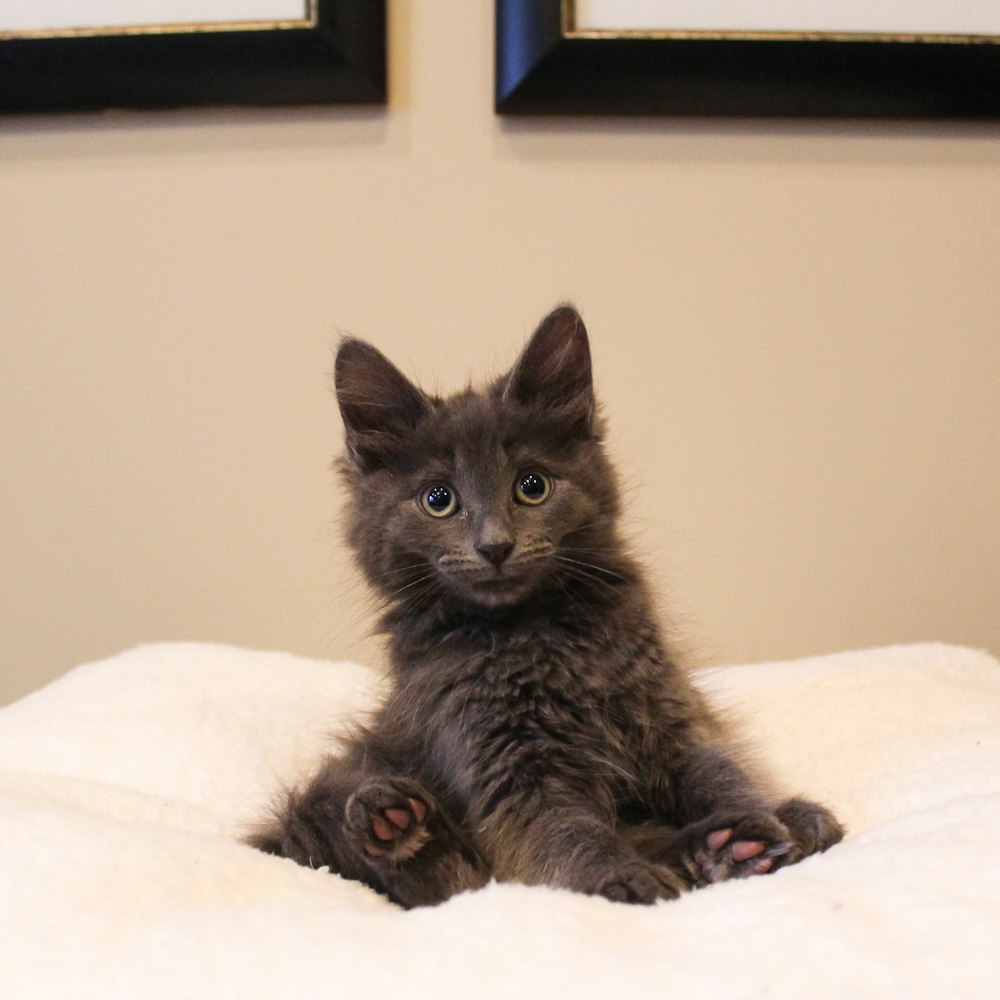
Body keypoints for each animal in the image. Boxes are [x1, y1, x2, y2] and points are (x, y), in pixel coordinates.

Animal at [246, 302, 840, 908]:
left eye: (532, 486)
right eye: (438, 500)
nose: (495, 545)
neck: (537, 632)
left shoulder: (670, 712)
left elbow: (718, 771)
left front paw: (755, 824)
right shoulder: (503, 757)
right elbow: (564, 829)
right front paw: (621, 878)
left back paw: (771, 831)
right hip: (337, 792)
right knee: (424, 866)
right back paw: (395, 823)